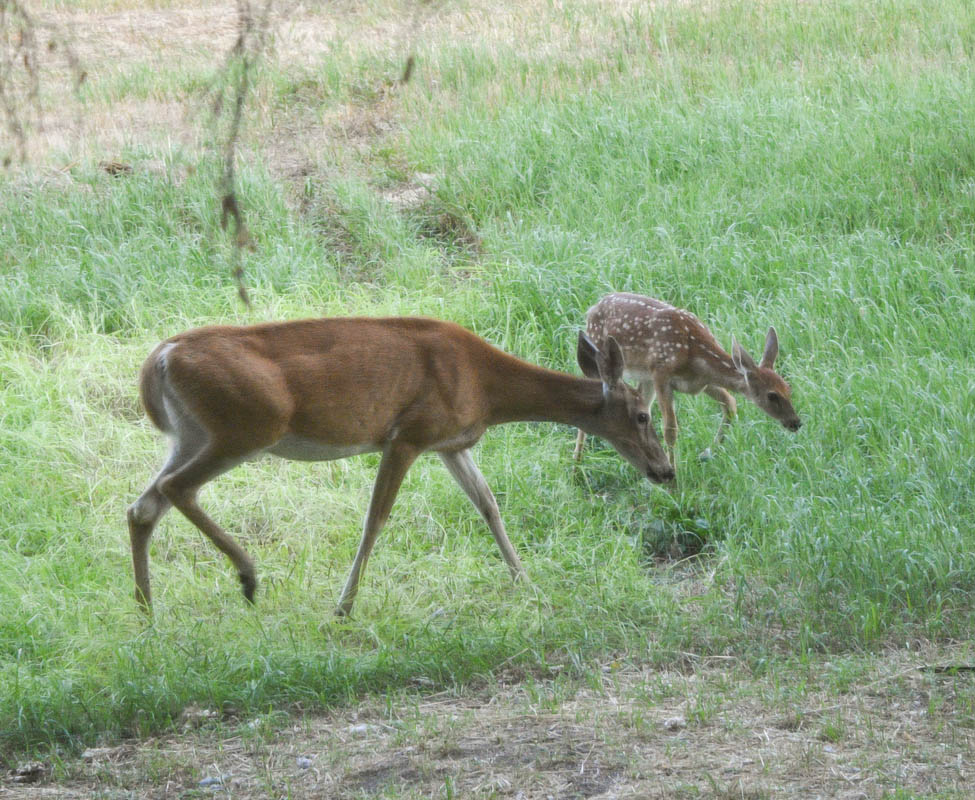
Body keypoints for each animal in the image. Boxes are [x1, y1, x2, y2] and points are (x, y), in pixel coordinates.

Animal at [127, 316, 675, 617]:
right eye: (643, 416)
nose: (665, 471)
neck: (487, 387)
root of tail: (159, 360)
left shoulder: (451, 442)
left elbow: (489, 506)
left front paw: (527, 582)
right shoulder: (408, 433)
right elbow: (376, 519)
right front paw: (343, 606)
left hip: (191, 434)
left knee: (142, 506)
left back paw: (147, 610)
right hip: (246, 427)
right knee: (175, 489)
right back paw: (247, 576)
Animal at [573, 292, 801, 467]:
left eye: (788, 388)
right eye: (772, 395)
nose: (796, 422)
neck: (694, 353)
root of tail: (591, 309)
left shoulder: (702, 382)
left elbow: (730, 403)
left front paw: (708, 452)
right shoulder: (661, 373)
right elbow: (670, 429)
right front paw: (675, 480)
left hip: (644, 377)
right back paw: (577, 464)